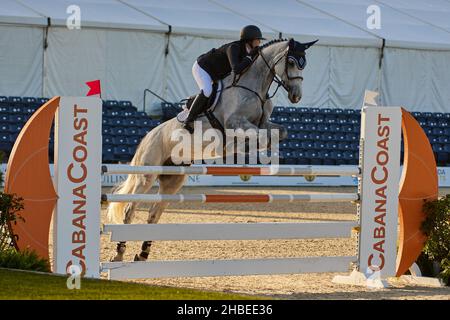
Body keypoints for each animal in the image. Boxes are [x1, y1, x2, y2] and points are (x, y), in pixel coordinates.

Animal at [107, 38, 318, 262]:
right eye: (291, 62)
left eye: (304, 64)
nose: (296, 96)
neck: (254, 87)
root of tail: (148, 136)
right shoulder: (236, 123)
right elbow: (255, 135)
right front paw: (239, 147)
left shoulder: (264, 123)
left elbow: (280, 132)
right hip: (147, 176)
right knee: (129, 211)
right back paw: (119, 254)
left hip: (172, 181)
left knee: (153, 215)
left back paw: (142, 254)